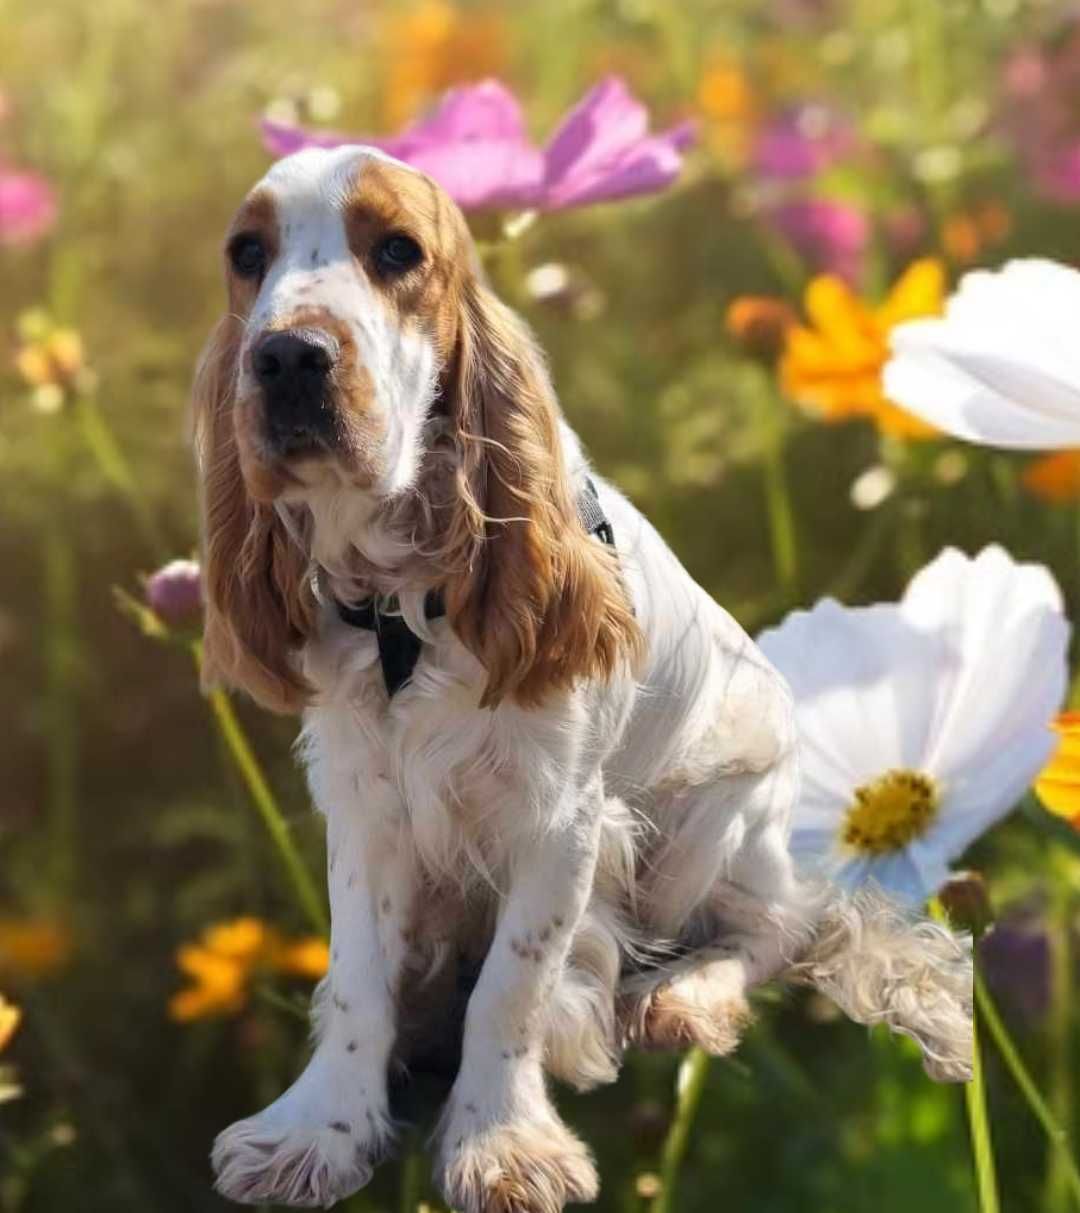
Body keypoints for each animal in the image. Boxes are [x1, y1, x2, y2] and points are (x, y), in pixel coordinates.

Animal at [191, 146, 965, 1208]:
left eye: (398, 251)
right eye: (244, 253)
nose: (288, 358)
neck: (402, 610)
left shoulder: (563, 816)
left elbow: (511, 989)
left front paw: (502, 1145)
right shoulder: (366, 805)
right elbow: (357, 978)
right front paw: (316, 1129)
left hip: (712, 822)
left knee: (779, 925)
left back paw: (681, 994)